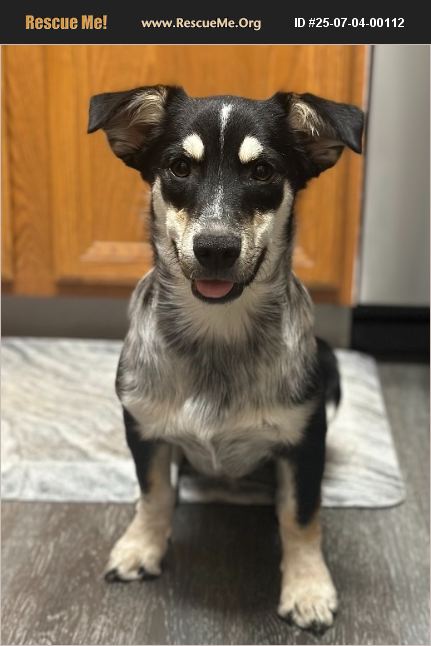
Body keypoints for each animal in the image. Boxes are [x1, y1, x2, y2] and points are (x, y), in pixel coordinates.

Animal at [88, 86, 363, 633]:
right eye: (178, 167)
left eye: (263, 172)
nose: (216, 247)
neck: (217, 337)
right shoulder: (142, 426)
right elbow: (154, 491)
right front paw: (140, 547)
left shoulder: (305, 441)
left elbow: (301, 516)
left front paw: (308, 588)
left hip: (329, 365)